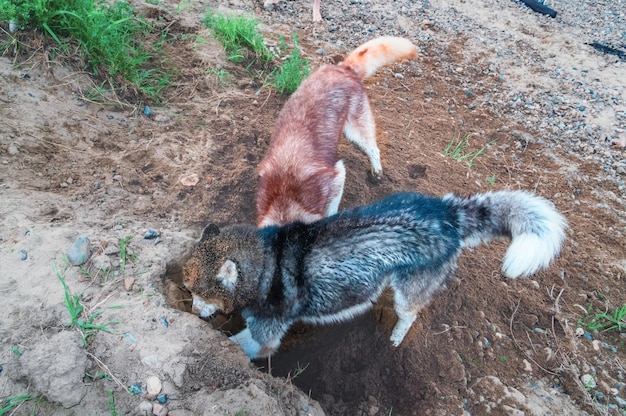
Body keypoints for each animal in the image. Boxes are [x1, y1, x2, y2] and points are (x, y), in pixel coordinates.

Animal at [184, 190, 564, 360]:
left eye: (199, 292)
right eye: (188, 290)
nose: (192, 313)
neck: (266, 264)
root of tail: (447, 212)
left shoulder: (264, 334)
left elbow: (239, 346)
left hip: (407, 293)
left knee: (410, 314)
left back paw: (396, 335)